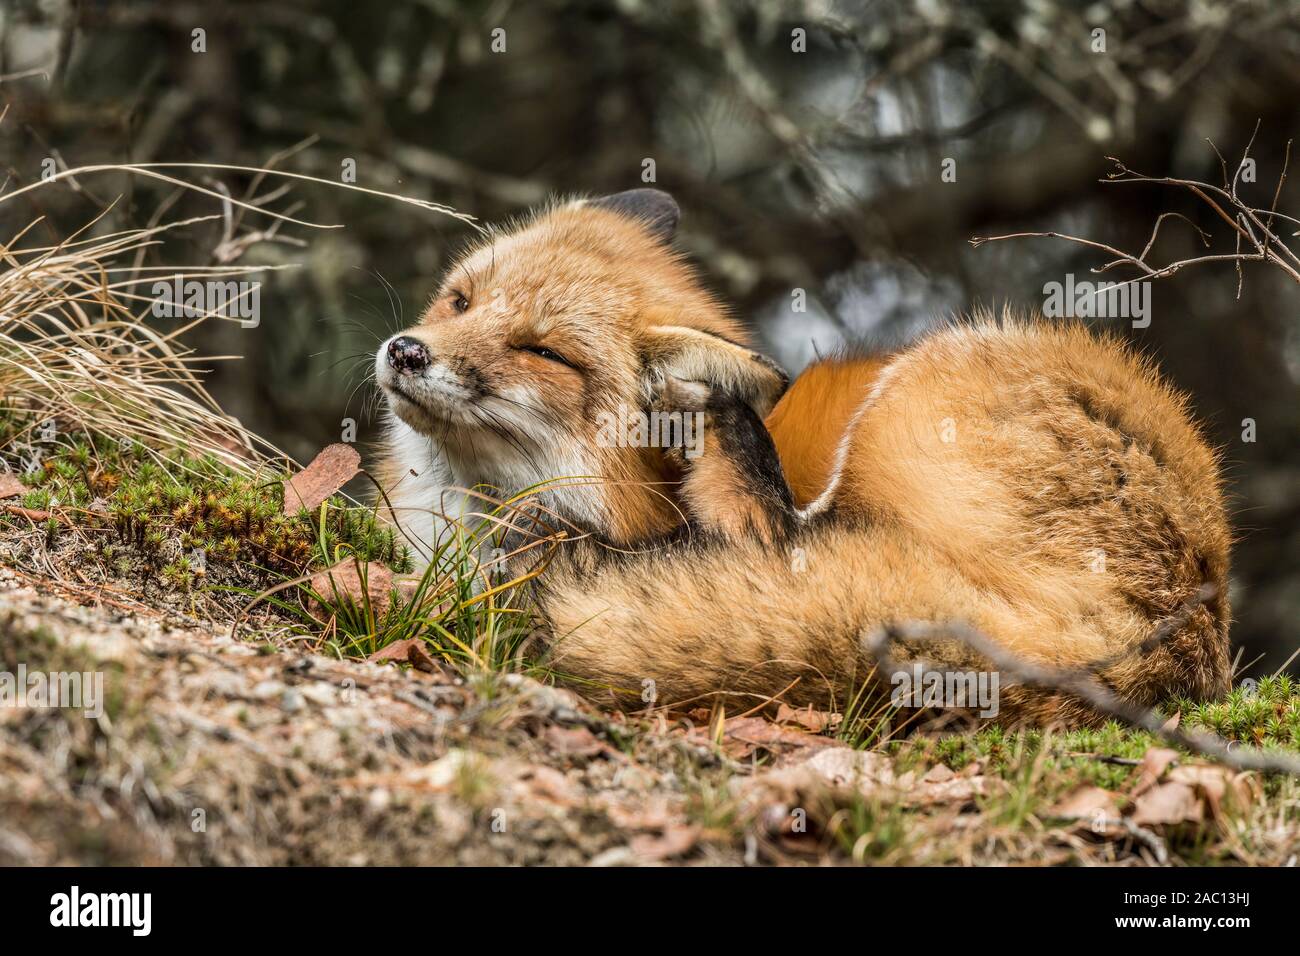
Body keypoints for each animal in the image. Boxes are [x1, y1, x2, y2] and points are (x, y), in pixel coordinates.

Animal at [373, 188, 1232, 726]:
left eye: (541, 351)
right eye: (460, 300)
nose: (406, 351)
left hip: (914, 386)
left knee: (777, 529)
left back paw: (730, 442)